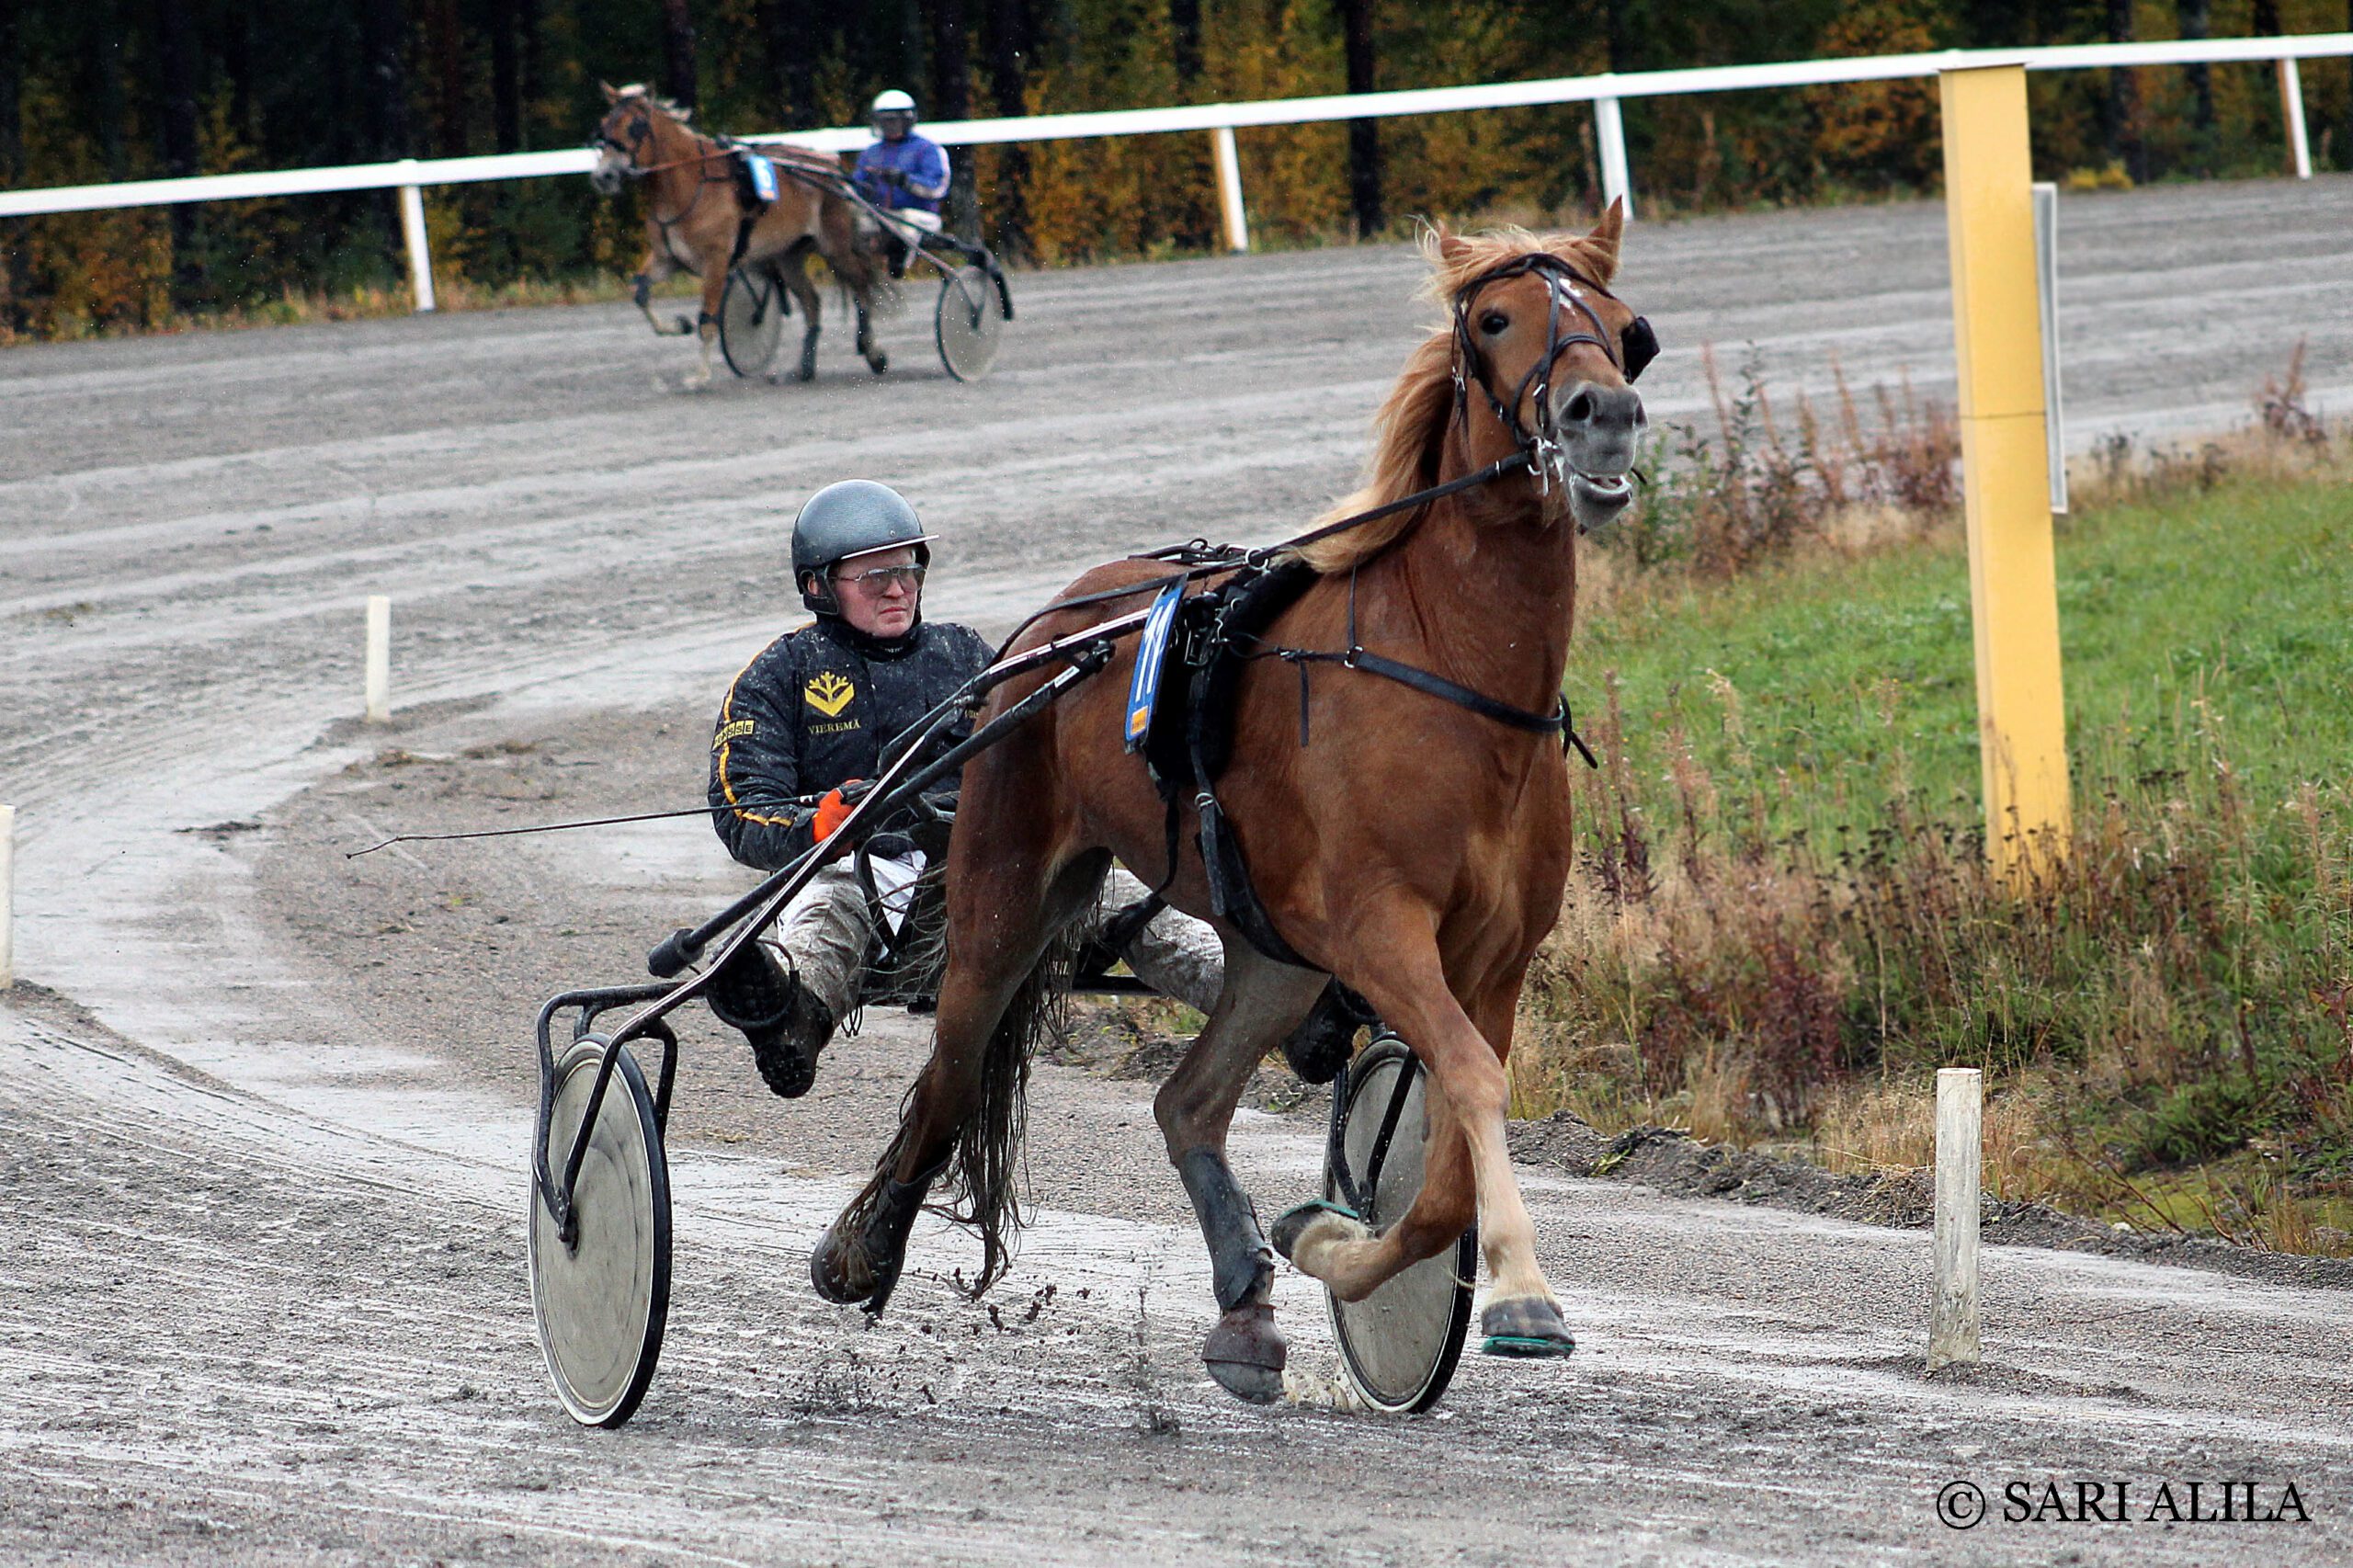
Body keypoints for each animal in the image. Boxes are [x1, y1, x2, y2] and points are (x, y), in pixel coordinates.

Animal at [589, 83, 886, 389]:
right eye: (604, 124)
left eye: (636, 126)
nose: (604, 176)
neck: (689, 184)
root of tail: (830, 166)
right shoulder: (666, 259)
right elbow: (639, 293)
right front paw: (678, 325)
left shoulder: (716, 261)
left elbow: (707, 319)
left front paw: (700, 376)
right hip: (788, 255)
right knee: (812, 302)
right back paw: (804, 367)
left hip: (835, 246)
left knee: (861, 286)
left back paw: (872, 352)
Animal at [807, 211, 1652, 1403]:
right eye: (1494, 318)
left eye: (1625, 328)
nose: (1601, 416)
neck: (1450, 671)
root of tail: (1055, 625)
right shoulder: (1381, 927)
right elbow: (1471, 1082)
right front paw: (1522, 1294)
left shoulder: (1494, 956)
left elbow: (1444, 1162)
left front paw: (1334, 1244)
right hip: (1002, 894)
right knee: (948, 1079)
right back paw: (861, 1246)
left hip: (1273, 950)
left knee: (1188, 1102)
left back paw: (1244, 1306)